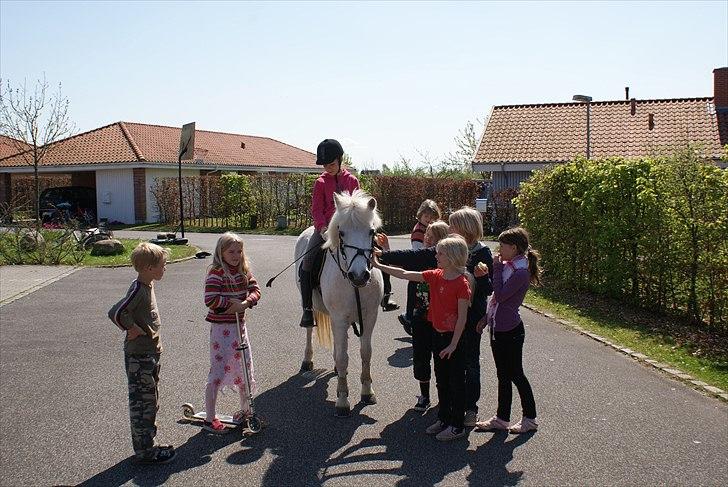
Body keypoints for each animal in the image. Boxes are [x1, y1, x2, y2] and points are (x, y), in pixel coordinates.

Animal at [296, 189, 386, 418]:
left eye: (371, 231)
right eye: (342, 233)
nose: (360, 275)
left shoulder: (369, 316)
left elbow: (365, 352)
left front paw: (367, 391)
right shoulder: (339, 318)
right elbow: (344, 357)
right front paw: (343, 399)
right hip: (312, 309)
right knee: (309, 330)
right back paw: (307, 360)